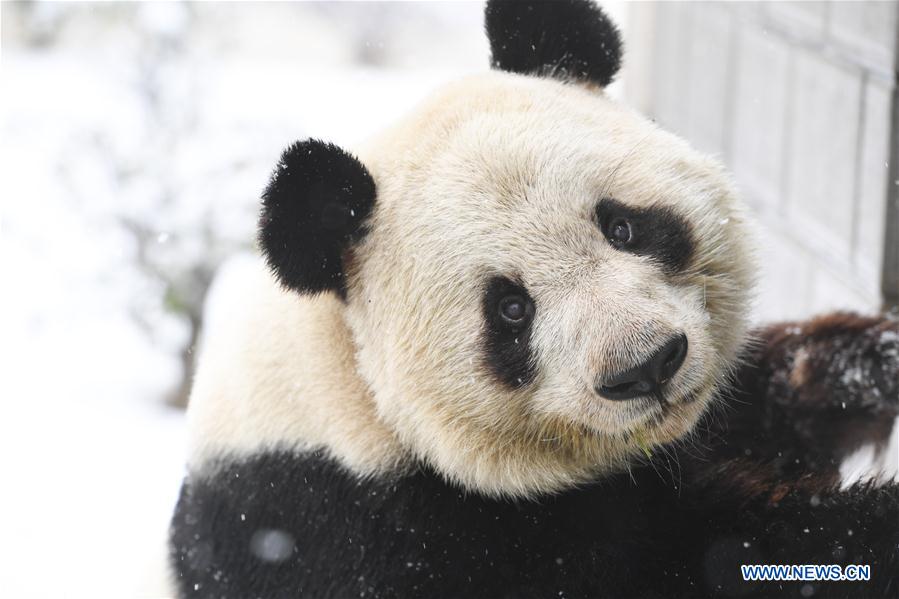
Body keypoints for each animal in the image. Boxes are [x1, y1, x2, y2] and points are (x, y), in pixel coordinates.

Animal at [171, 2, 899, 596]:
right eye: (510, 308)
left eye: (622, 226)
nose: (645, 367)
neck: (345, 374)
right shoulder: (382, 530)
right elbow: (702, 559)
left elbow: (757, 403)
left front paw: (870, 363)